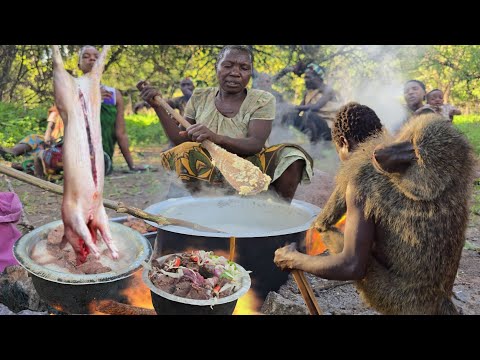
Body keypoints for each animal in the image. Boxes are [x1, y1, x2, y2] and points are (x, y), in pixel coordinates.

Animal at [274, 102, 476, 314]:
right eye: (407, 141)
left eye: (414, 154)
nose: (380, 152)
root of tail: (439, 299)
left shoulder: (358, 181)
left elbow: (351, 263)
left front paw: (289, 255)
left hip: (394, 298)